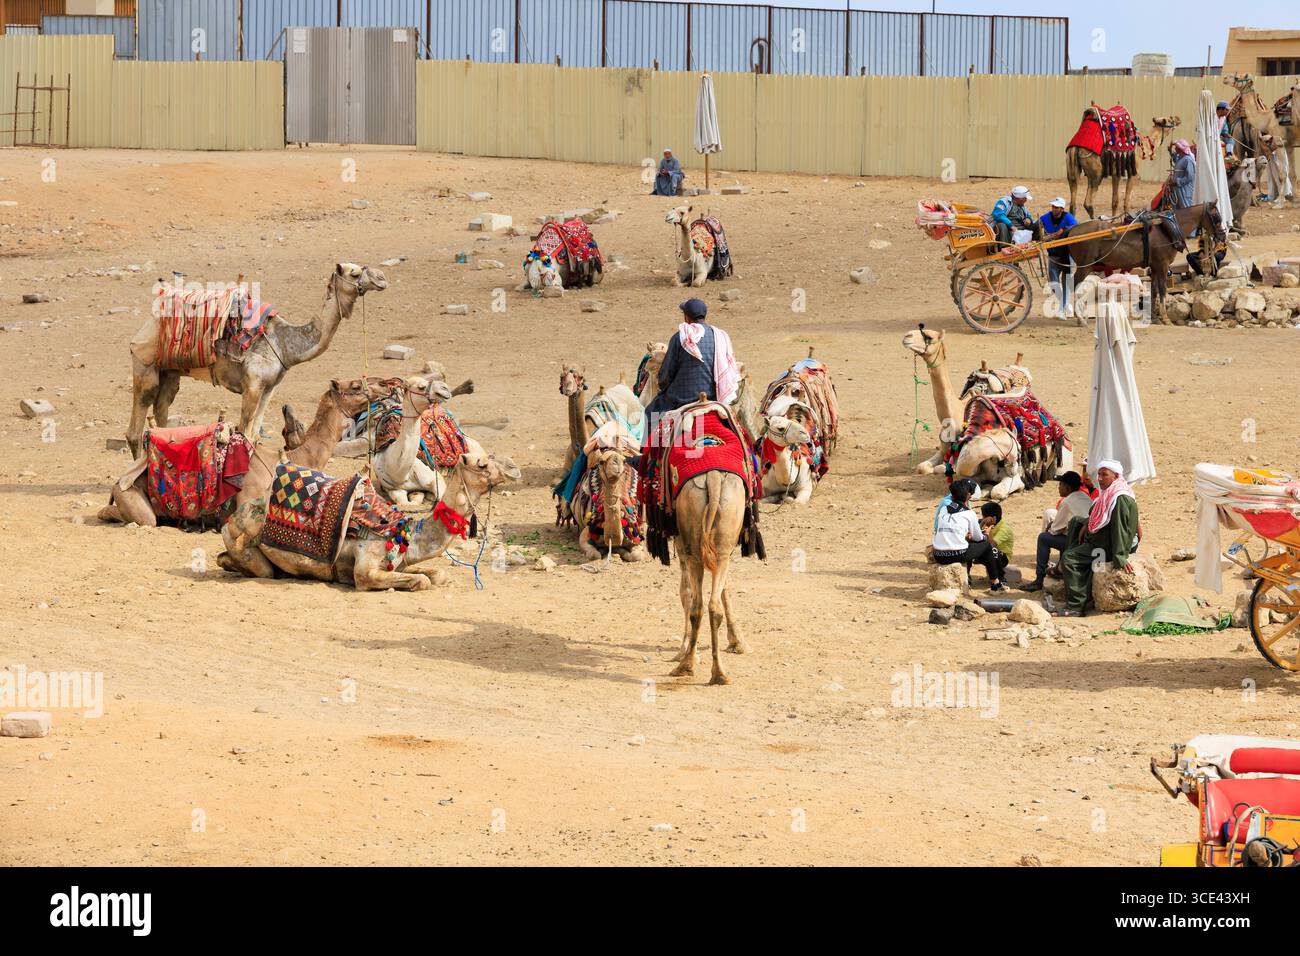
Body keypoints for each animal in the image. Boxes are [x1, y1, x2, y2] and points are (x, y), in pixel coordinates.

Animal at [125, 262, 388, 458]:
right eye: (355, 273)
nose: (382, 278)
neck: (284, 343)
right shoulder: (252, 385)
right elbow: (243, 433)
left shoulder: (269, 388)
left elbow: (253, 435)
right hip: (145, 363)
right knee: (136, 426)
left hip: (171, 371)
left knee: (162, 407)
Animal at [218, 450, 520, 590]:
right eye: (482, 464)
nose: (514, 468)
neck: (405, 533)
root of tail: (233, 516)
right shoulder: (366, 572)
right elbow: (421, 581)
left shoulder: (400, 562)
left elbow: (437, 574)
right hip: (239, 537)